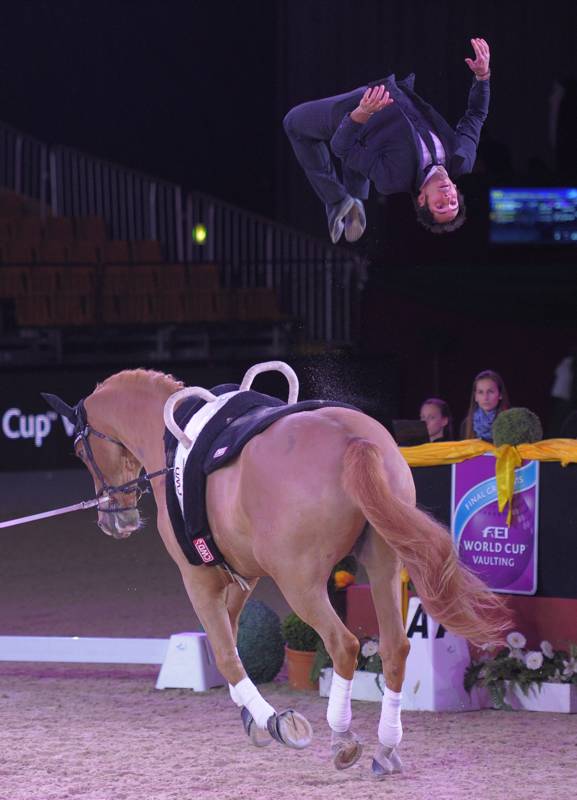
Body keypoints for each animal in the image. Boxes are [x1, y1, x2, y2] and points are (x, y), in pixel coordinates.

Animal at [42, 366, 506, 780]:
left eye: (81, 452)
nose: (114, 520)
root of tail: (352, 439)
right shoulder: (242, 575)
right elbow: (228, 638)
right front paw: (251, 717)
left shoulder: (199, 578)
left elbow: (225, 653)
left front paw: (276, 723)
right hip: (385, 565)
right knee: (395, 647)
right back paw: (386, 749)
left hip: (300, 583)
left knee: (343, 645)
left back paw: (342, 740)